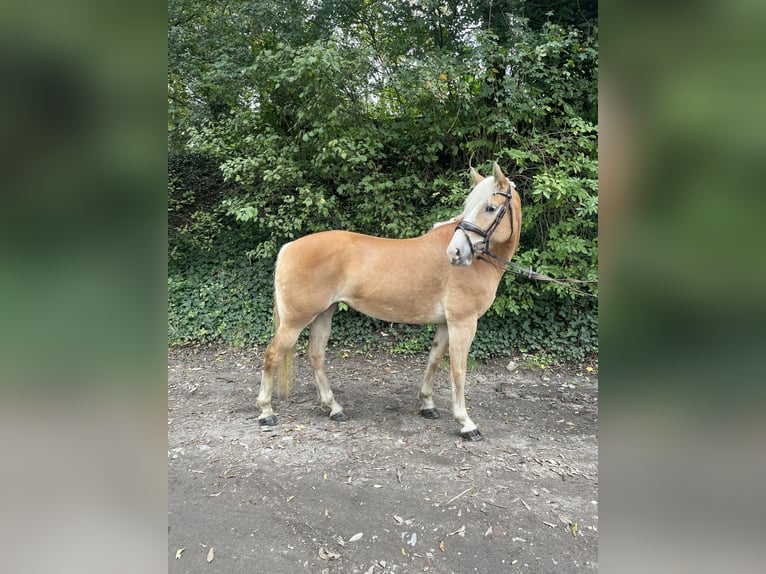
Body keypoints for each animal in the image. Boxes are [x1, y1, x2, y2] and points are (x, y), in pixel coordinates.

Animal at [256, 164, 520, 444]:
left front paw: (427, 405)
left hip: (323, 314)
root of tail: (289, 247)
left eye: (490, 208)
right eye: (470, 205)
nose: (455, 253)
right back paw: (266, 412)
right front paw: (466, 423)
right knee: (272, 355)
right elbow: (458, 371)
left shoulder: (446, 324)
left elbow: (434, 360)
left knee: (316, 354)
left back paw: (333, 408)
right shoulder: (463, 322)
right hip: (295, 321)